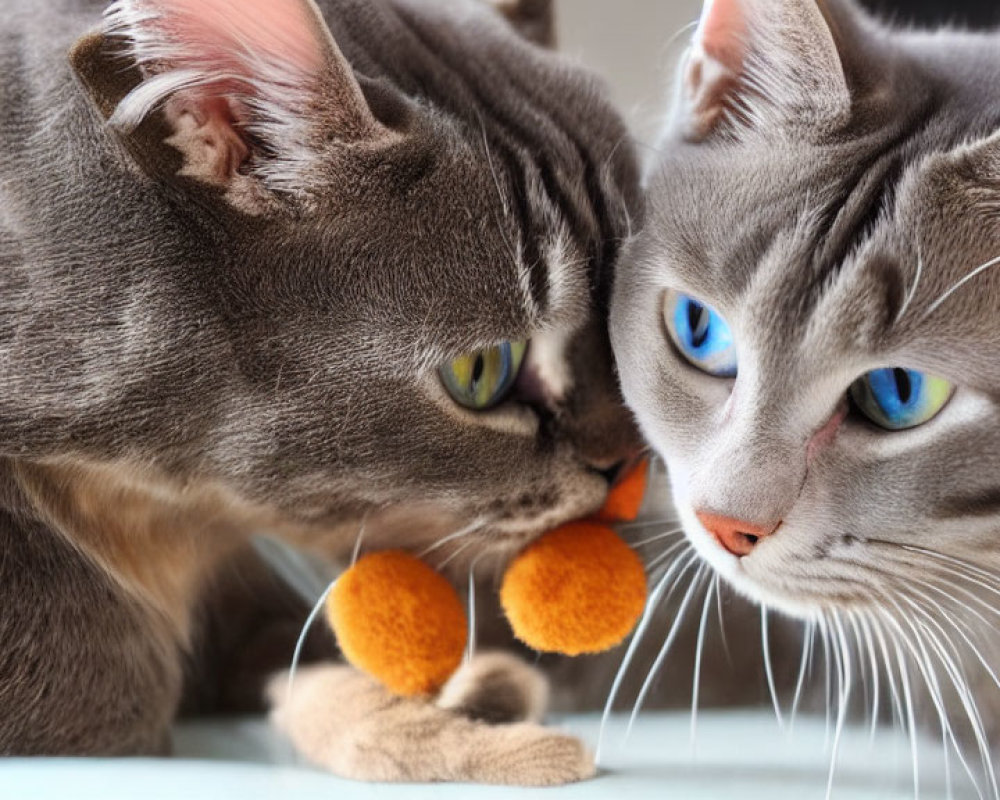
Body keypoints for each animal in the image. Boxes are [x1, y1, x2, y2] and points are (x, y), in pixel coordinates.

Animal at [0, 0, 640, 780]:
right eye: (482, 371)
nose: (626, 462)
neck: (168, 513)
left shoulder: (248, 603)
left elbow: (312, 670)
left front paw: (458, 705)